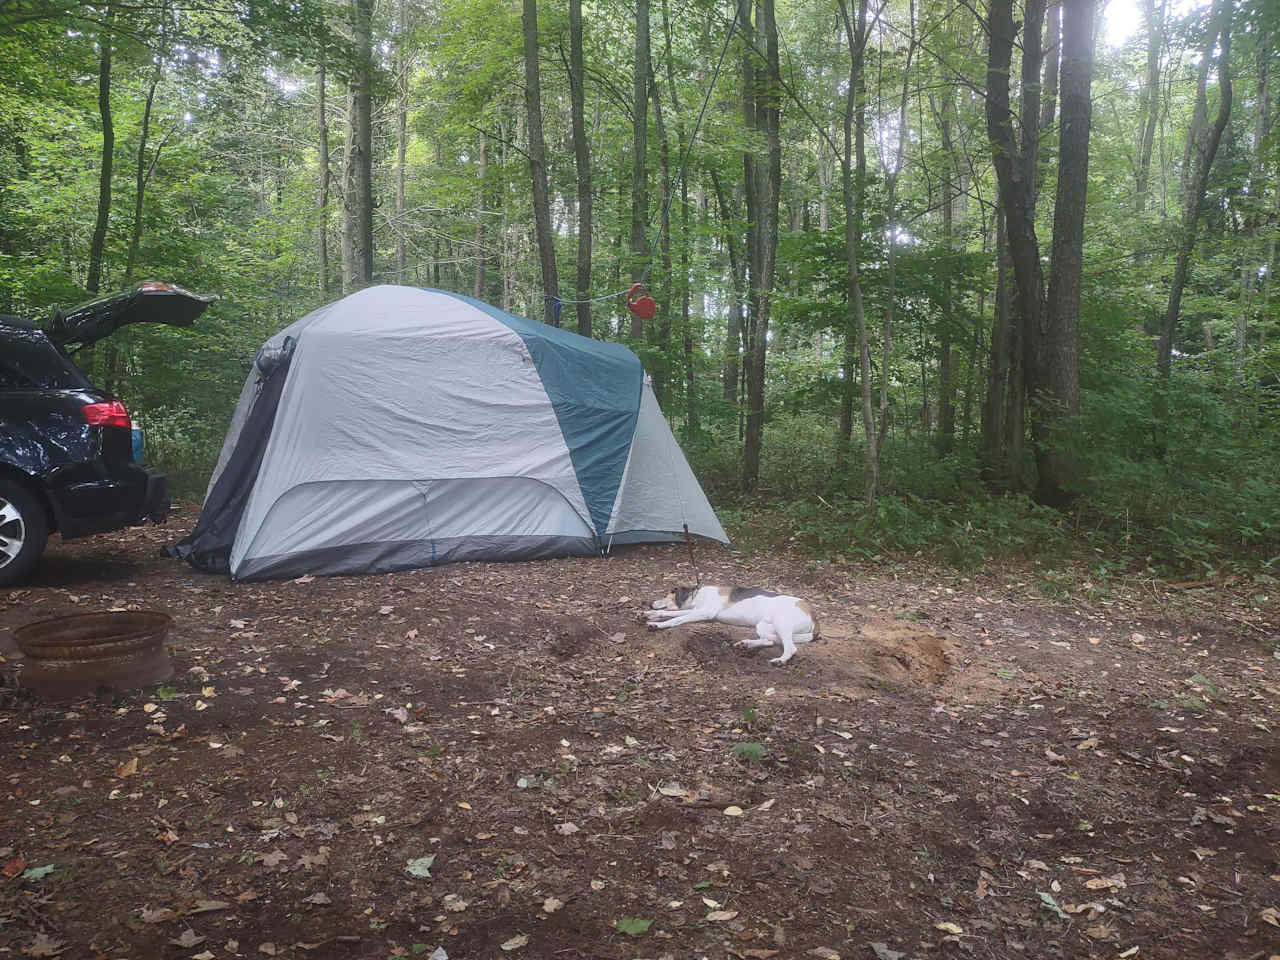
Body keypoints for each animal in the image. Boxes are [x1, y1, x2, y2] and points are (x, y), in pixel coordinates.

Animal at [650, 586, 819, 670]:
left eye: (666, 595)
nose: (650, 604)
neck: (696, 594)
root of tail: (813, 613)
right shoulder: (696, 611)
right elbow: (670, 613)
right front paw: (651, 614)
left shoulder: (704, 612)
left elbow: (677, 618)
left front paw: (658, 625)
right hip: (763, 626)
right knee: (771, 641)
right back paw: (746, 644)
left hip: (780, 622)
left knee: (790, 647)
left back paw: (780, 660)